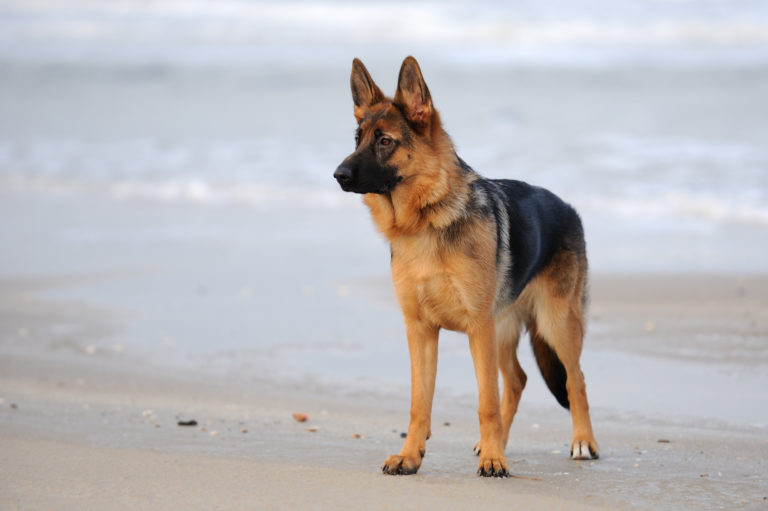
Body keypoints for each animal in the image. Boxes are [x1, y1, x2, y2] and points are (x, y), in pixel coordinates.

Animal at [332, 56, 596, 476]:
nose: (338, 175)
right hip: (503, 329)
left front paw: (494, 460)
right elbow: (419, 403)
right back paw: (497, 442)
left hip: (554, 325)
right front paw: (410, 455)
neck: (425, 221)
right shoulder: (421, 331)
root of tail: (568, 207)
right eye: (357, 139)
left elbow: (486, 402)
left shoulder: (477, 329)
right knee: (518, 380)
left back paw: (582, 441)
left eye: (385, 141)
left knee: (576, 380)